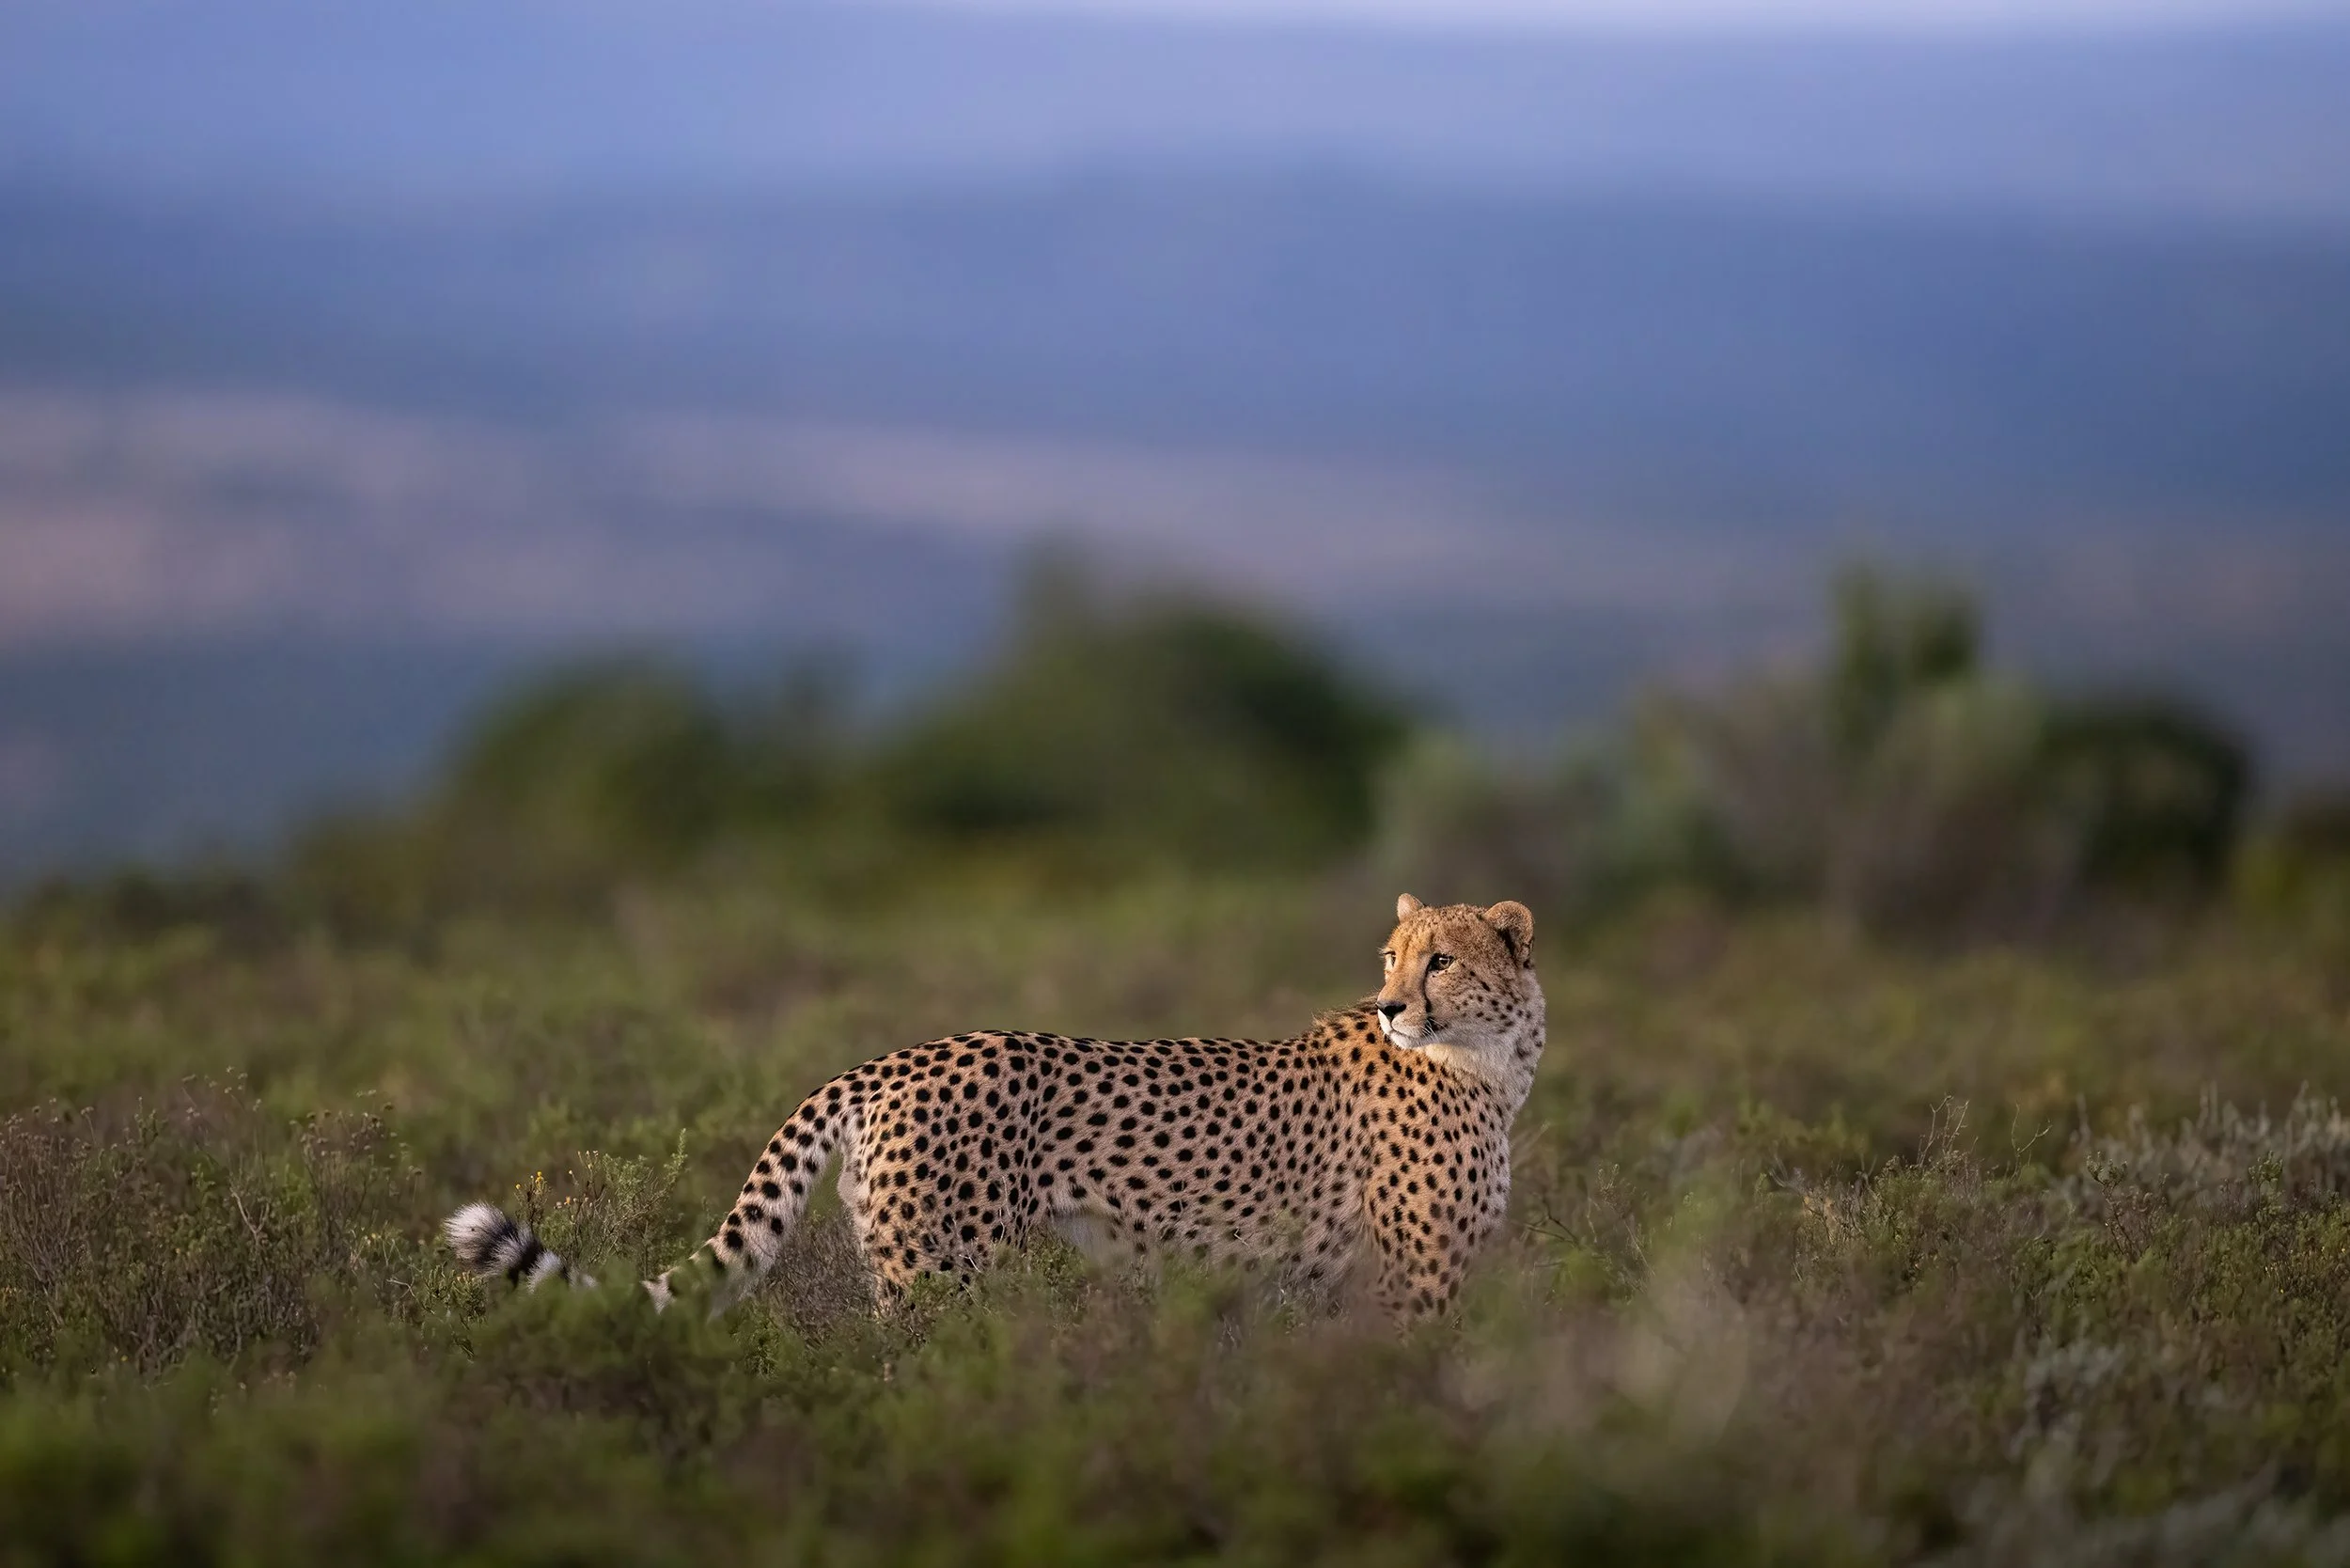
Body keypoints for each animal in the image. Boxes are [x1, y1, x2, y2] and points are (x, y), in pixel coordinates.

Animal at [446, 893, 1543, 1320]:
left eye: (1440, 960)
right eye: (1393, 957)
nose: (1391, 1004)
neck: (1491, 1060)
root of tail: (890, 1060)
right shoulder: (1414, 1283)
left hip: (902, 1264)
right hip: (946, 1272)